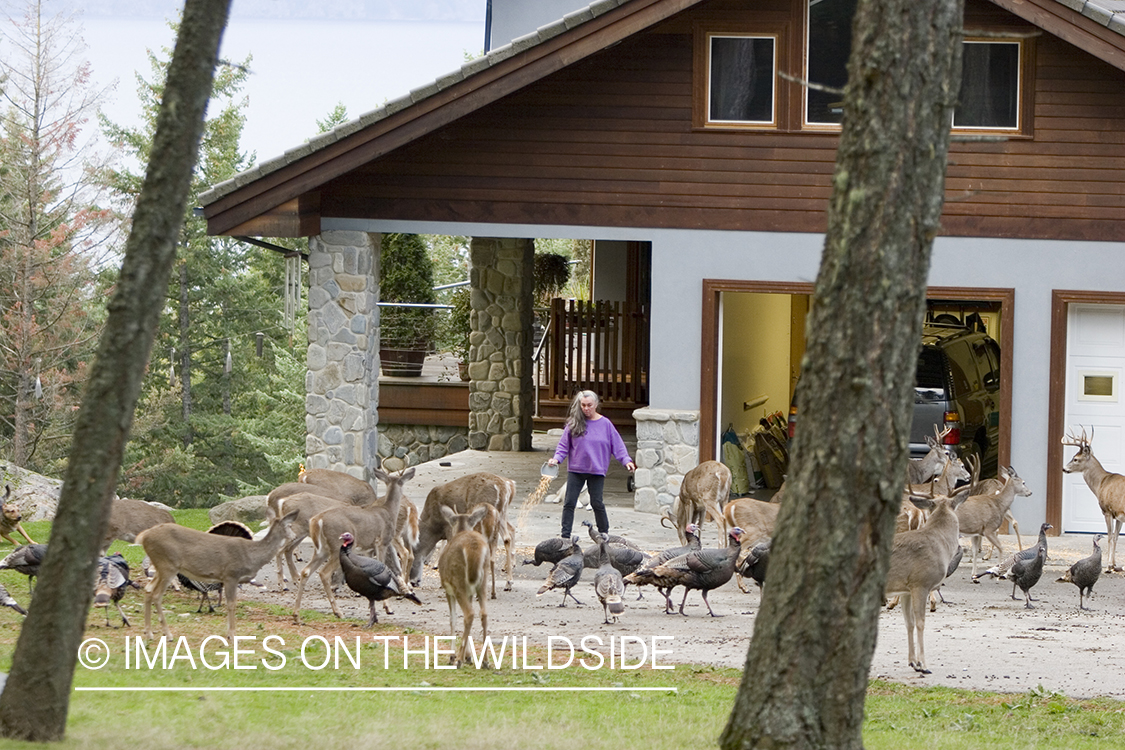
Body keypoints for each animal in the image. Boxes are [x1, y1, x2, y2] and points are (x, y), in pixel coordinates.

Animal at [138, 508, 299, 643]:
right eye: (290, 526)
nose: (295, 536)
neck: (252, 555)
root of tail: (144, 537)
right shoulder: (231, 575)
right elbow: (231, 604)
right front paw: (232, 636)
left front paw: (229, 634)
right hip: (167, 564)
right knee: (157, 595)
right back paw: (168, 635)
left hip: (161, 567)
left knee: (148, 589)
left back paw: (149, 633)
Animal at [292, 470, 416, 620]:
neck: (388, 511)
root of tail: (317, 520)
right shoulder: (382, 542)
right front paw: (387, 607)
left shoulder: (370, 547)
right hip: (336, 546)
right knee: (324, 573)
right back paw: (338, 612)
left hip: (321, 549)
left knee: (306, 571)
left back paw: (296, 613)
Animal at [438, 503, 492, 670]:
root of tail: (473, 547)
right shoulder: (470, 592)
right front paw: (469, 656)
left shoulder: (448, 589)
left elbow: (453, 618)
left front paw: (452, 656)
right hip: (483, 581)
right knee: (483, 613)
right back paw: (485, 661)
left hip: (458, 581)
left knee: (469, 614)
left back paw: (459, 660)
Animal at [1062, 427, 1125, 575]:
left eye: (1076, 459)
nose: (1064, 468)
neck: (1101, 483)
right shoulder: (1118, 515)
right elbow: (1116, 537)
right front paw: (1114, 565)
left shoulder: (1107, 511)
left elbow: (1109, 537)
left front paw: (1108, 566)